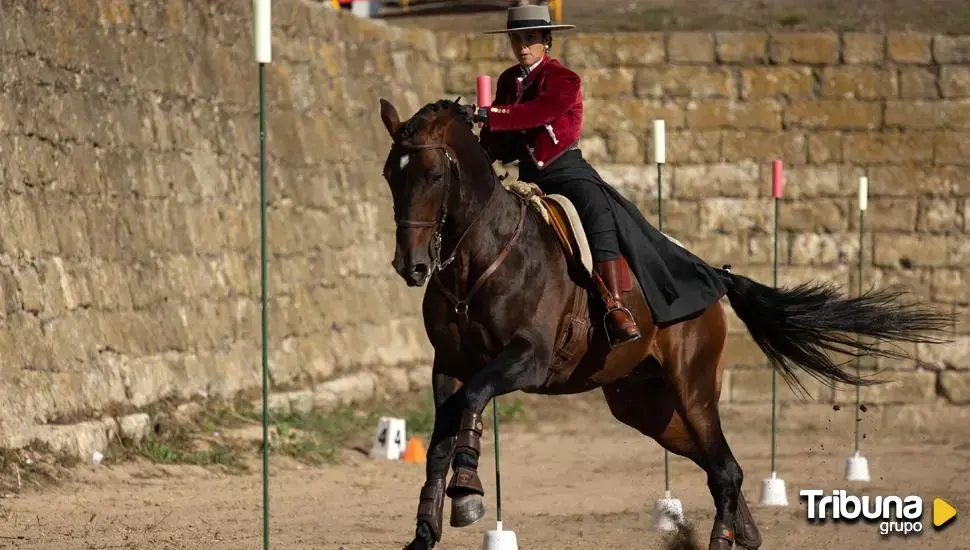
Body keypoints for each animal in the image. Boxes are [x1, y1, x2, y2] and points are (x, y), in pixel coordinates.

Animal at [374, 96, 948, 550]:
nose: (411, 265)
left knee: (725, 468)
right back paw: (744, 533)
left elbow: (473, 401)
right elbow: (441, 442)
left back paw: (723, 539)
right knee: (719, 467)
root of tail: (710, 276)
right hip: (646, 407)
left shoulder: (525, 360)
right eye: (389, 175)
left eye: (433, 175)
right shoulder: (449, 366)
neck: (479, 258)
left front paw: (468, 491)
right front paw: (426, 530)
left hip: (691, 390)